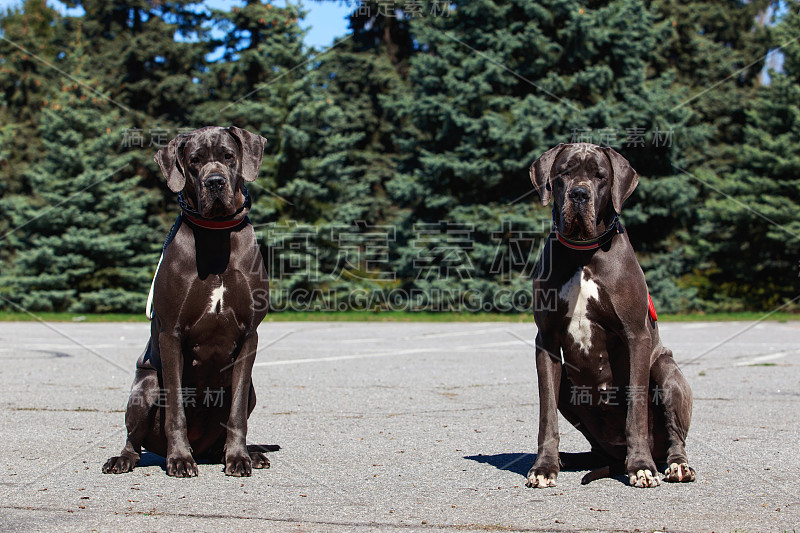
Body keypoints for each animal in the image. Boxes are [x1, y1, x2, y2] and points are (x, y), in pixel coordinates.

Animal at [103, 125, 270, 478]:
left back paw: (247, 453)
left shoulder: (249, 334)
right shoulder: (171, 334)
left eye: (228, 156)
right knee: (134, 438)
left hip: (251, 389)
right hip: (145, 387)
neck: (216, 233)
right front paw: (179, 459)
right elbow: (175, 409)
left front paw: (239, 458)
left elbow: (236, 413)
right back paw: (125, 459)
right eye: (194, 161)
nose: (215, 182)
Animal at [524, 141, 692, 486]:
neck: (582, 251)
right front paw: (544, 467)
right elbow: (546, 413)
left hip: (666, 370)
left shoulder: (636, 335)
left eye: (600, 176)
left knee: (675, 436)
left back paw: (675, 465)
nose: (579, 194)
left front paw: (640, 466)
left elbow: (636, 409)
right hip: (568, 385)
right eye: (563, 172)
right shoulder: (546, 340)